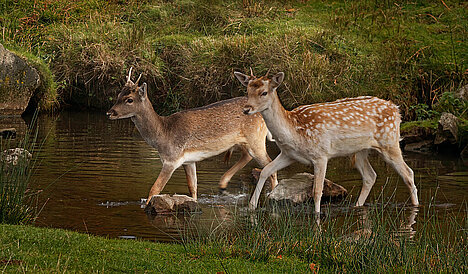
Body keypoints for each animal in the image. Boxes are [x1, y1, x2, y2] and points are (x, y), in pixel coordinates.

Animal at [106, 69, 278, 203]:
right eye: (118, 95)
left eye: (129, 99)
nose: (109, 112)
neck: (163, 135)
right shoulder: (188, 161)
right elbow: (193, 188)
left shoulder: (171, 159)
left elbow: (155, 189)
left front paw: (148, 206)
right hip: (244, 140)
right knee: (248, 156)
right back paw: (222, 184)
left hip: (255, 136)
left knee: (269, 164)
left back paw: (273, 195)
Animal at [234, 70, 420, 214]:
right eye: (247, 91)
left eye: (264, 92)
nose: (246, 109)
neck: (295, 132)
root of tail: (396, 109)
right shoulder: (289, 154)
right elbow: (265, 170)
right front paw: (251, 206)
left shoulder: (321, 155)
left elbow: (317, 191)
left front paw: (317, 216)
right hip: (360, 150)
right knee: (370, 176)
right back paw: (357, 206)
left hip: (389, 141)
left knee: (408, 173)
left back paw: (415, 206)